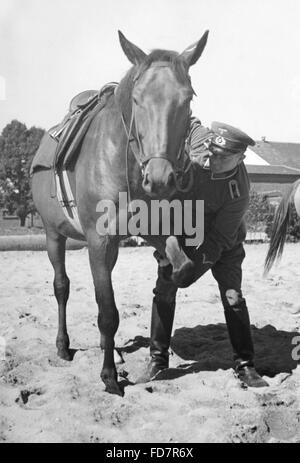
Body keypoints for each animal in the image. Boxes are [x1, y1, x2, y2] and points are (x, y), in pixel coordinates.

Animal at [30, 30, 209, 396]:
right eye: (137, 100)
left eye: (187, 99)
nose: (160, 178)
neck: (122, 161)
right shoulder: (99, 241)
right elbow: (108, 312)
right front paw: (109, 377)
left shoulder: (149, 229)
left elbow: (181, 266)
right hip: (53, 234)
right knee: (62, 286)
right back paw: (63, 346)